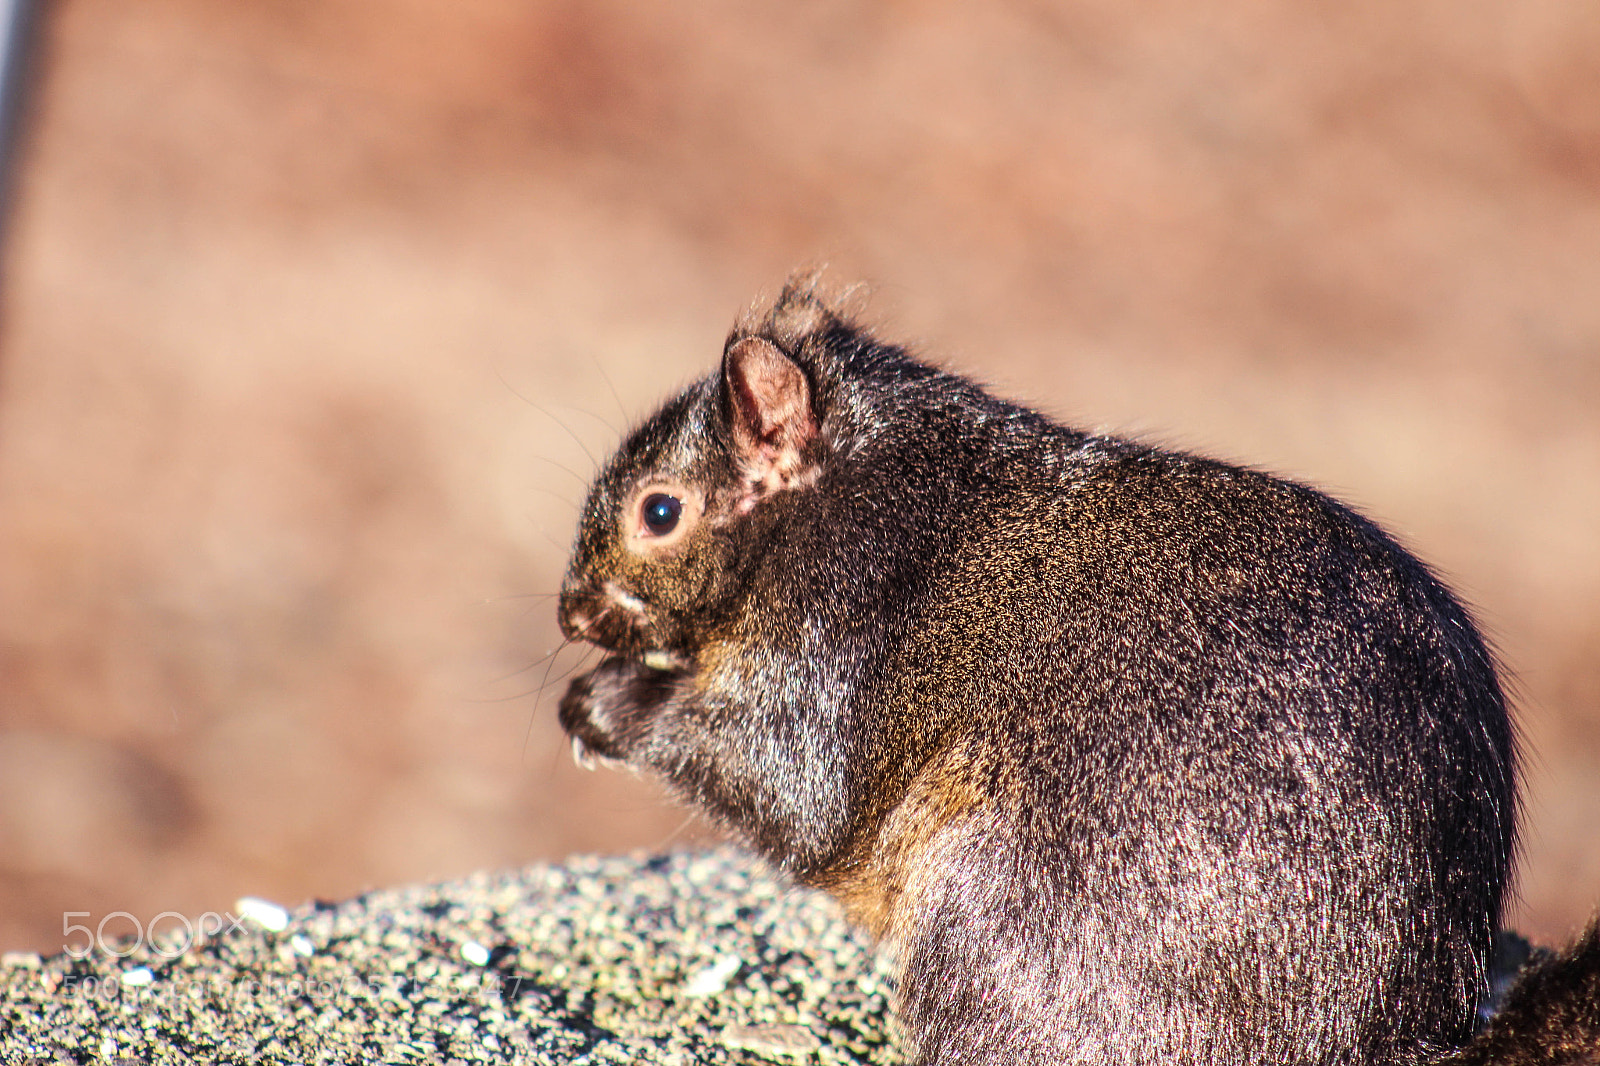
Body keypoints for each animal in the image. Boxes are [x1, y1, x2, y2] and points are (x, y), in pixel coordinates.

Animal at [555, 277, 1600, 1065]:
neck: (847, 488)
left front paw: (606, 703)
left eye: (659, 512)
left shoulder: (835, 635)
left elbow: (789, 786)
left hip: (990, 932)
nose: (568, 612)